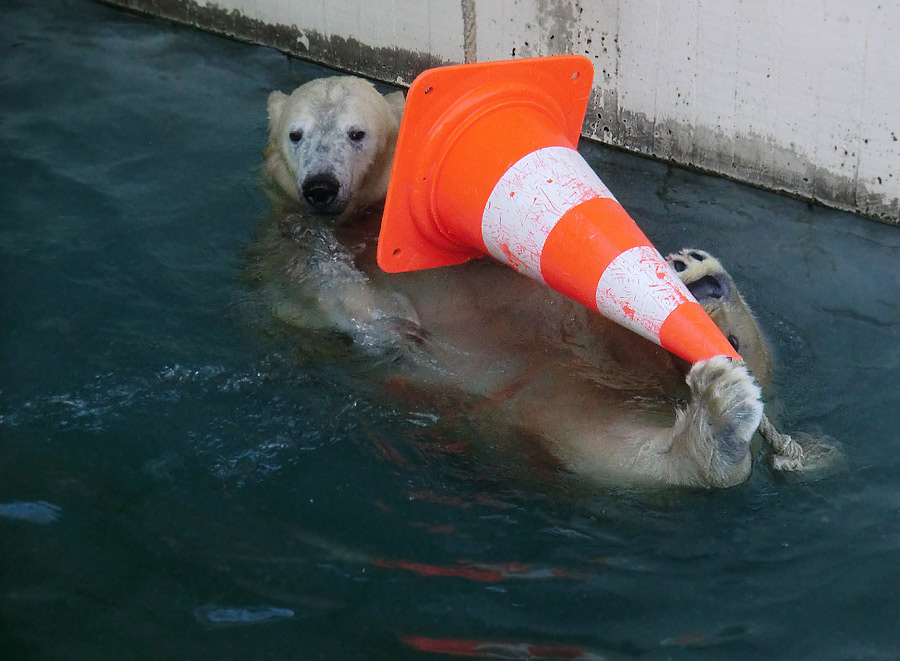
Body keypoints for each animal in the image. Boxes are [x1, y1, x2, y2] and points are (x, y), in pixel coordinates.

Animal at [250, 77, 776, 488]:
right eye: (296, 134)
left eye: (356, 133)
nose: (320, 186)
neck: (366, 219)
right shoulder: (289, 241)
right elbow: (316, 287)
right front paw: (393, 324)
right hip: (541, 405)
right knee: (610, 449)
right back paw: (722, 422)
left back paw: (708, 290)